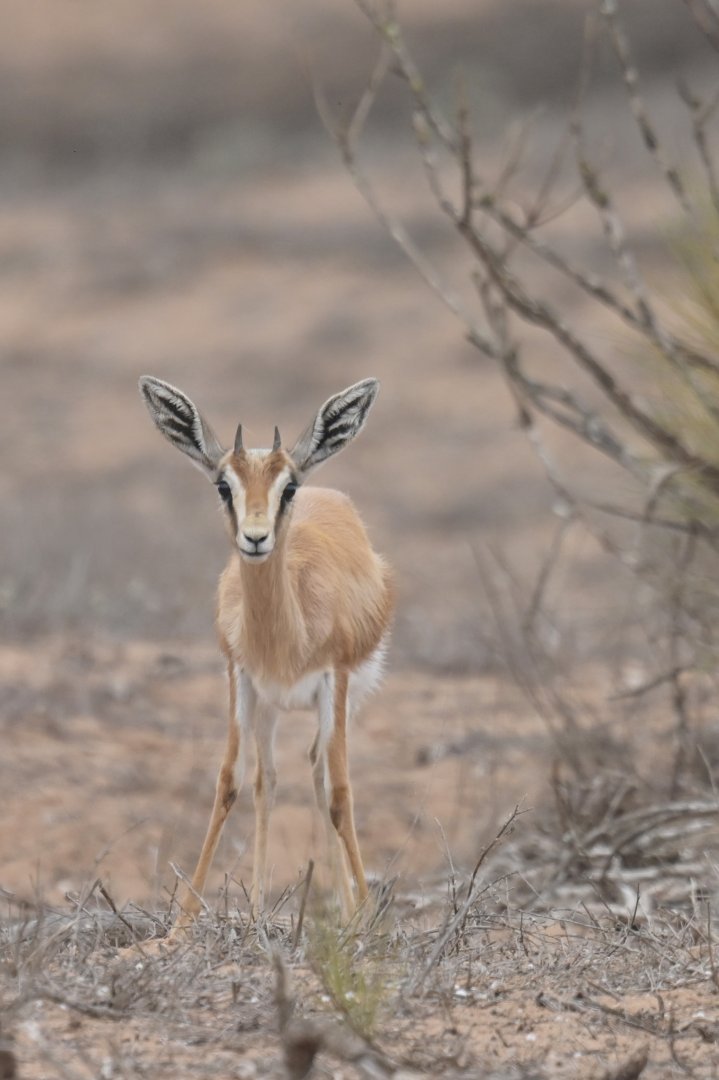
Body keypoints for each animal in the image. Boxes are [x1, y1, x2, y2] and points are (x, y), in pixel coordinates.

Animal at [139, 376, 394, 924]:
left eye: (287, 487)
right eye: (224, 485)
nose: (255, 538)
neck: (287, 636)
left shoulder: (336, 681)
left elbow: (340, 794)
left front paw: (366, 921)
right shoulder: (241, 678)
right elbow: (230, 784)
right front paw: (179, 927)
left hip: (340, 702)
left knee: (319, 774)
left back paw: (345, 911)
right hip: (269, 707)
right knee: (270, 780)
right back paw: (259, 908)